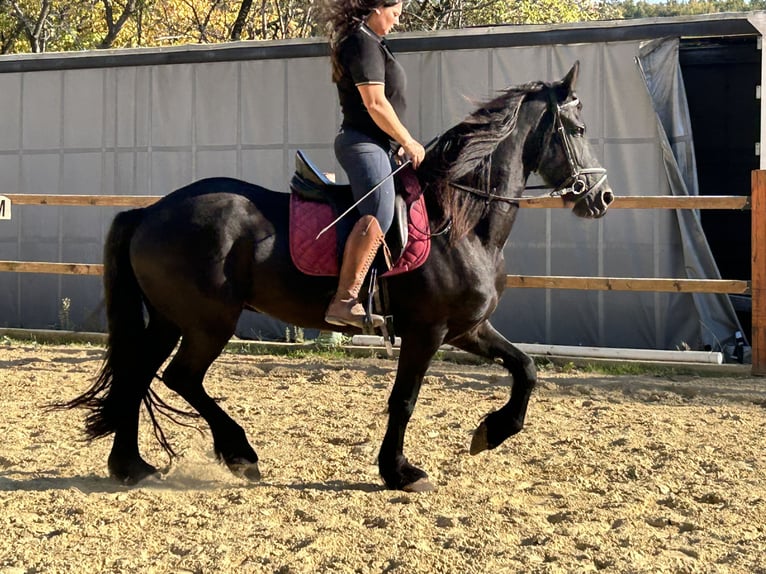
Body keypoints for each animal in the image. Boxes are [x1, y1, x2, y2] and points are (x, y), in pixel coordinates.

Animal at [62, 62, 613, 492]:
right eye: (579, 130)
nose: (601, 197)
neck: (459, 219)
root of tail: (152, 211)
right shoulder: (427, 329)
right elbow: (404, 399)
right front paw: (399, 472)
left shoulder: (468, 328)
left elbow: (526, 369)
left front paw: (490, 433)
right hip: (207, 322)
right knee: (180, 377)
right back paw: (239, 454)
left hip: (170, 319)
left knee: (138, 373)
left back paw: (132, 467)